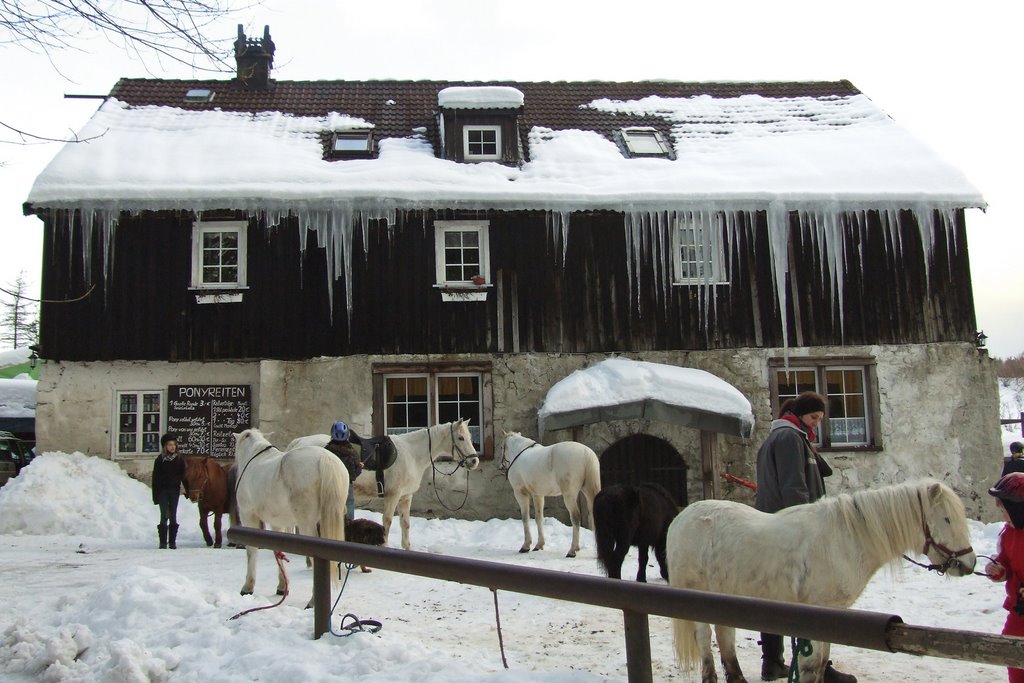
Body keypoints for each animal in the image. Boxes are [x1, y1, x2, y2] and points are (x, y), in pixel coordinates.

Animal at [232, 430, 348, 606]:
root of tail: (325, 459)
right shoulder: (277, 523)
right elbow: (278, 550)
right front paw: (281, 586)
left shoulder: (248, 516)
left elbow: (251, 551)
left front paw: (248, 587)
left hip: (307, 523)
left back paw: (313, 601)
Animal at [288, 419, 479, 552]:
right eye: (461, 437)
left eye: (470, 437)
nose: (474, 461)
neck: (411, 453)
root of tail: (299, 443)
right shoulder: (392, 495)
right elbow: (387, 520)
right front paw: (384, 544)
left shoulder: (405, 497)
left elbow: (405, 523)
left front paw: (407, 547)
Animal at [663, 481, 974, 683]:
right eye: (946, 519)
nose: (968, 564)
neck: (846, 539)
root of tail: (680, 518)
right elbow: (812, 667)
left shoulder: (831, 614)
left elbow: (822, 662)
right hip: (696, 594)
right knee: (705, 638)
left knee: (725, 635)